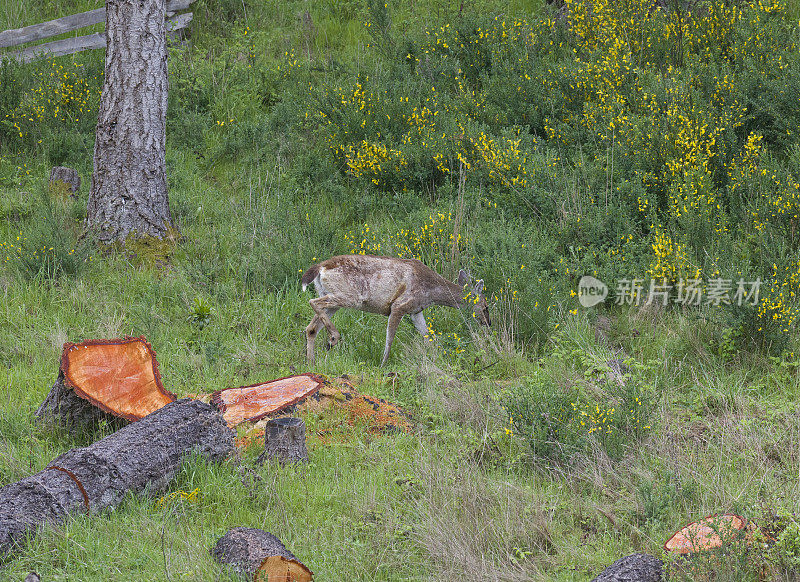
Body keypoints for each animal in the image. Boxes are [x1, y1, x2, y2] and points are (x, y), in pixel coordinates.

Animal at [298, 254, 488, 364]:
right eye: (485, 306)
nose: (488, 323)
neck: (432, 292)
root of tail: (321, 267)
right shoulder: (399, 305)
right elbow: (389, 339)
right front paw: (383, 364)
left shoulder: (416, 311)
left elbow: (428, 336)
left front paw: (437, 356)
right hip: (349, 296)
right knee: (313, 301)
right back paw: (333, 338)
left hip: (333, 297)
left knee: (311, 327)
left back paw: (311, 361)